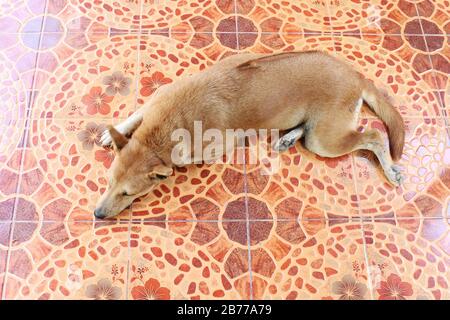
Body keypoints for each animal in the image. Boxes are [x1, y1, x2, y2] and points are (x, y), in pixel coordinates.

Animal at [94, 51, 404, 219]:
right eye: (107, 182)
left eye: (127, 193)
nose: (97, 215)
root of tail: (356, 76)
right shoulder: (158, 98)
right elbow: (137, 113)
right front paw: (115, 133)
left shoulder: (216, 144)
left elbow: (181, 159)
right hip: (316, 129)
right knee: (306, 127)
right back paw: (289, 137)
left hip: (325, 140)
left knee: (374, 136)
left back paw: (390, 169)